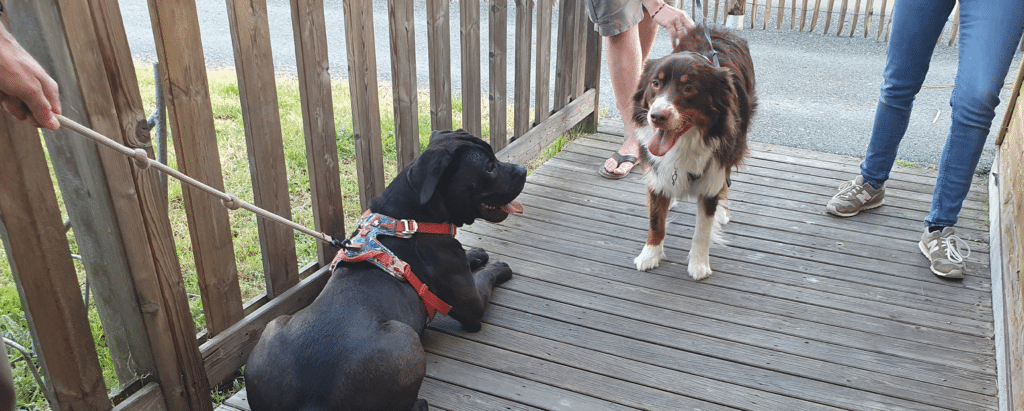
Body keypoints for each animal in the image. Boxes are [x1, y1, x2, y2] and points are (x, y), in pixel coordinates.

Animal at [242, 130, 524, 409]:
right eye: (489, 167)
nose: (522, 169)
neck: (412, 219)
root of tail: (312, 402)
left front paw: (476, 254)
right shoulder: (472, 306)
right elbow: (485, 277)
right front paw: (499, 266)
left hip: (273, 328)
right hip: (405, 337)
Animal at [626, 25, 757, 280]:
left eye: (689, 88)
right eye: (655, 84)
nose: (656, 116)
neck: (685, 142)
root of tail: (718, 29)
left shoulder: (713, 171)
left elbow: (702, 230)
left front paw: (698, 265)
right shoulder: (656, 171)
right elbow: (656, 220)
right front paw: (650, 255)